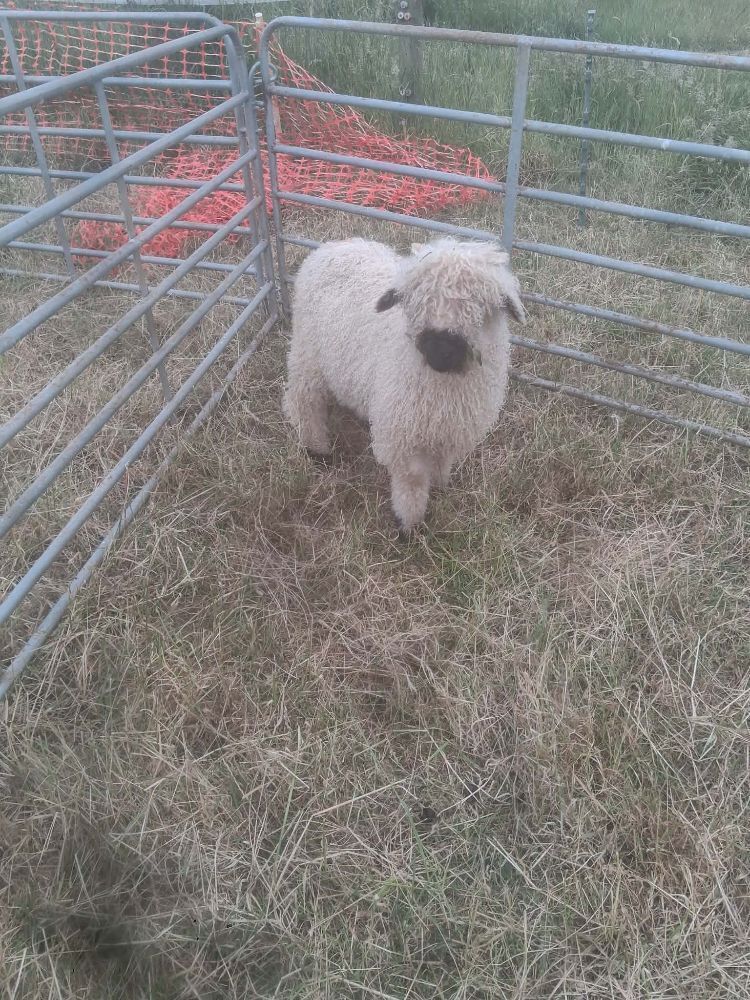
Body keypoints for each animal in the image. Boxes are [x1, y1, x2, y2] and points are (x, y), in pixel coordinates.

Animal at [283, 236, 526, 531]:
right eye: (417, 301)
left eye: (479, 304)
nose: (440, 352)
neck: (444, 389)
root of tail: (335, 245)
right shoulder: (403, 438)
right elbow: (412, 484)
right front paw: (409, 525)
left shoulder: (449, 431)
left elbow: (440, 465)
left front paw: (440, 488)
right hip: (308, 353)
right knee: (302, 400)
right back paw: (316, 449)